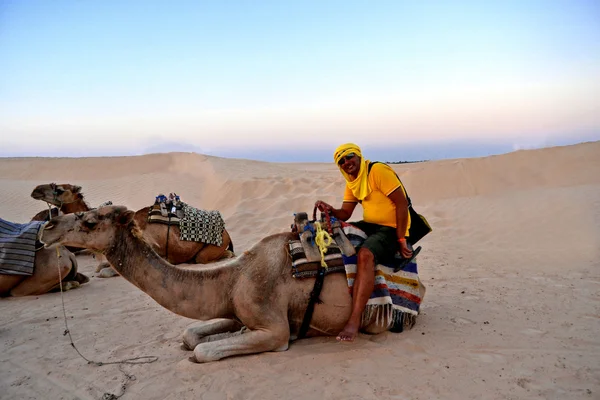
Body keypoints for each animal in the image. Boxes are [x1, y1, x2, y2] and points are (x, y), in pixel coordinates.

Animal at [29, 183, 234, 276]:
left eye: (60, 189)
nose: (36, 190)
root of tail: (226, 233)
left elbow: (104, 270)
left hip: (211, 250)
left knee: (211, 257)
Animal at [39, 206, 424, 362]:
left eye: (90, 221)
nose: (47, 228)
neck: (235, 276)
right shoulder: (235, 307)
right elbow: (191, 334)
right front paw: (224, 333)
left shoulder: (275, 329)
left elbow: (202, 351)